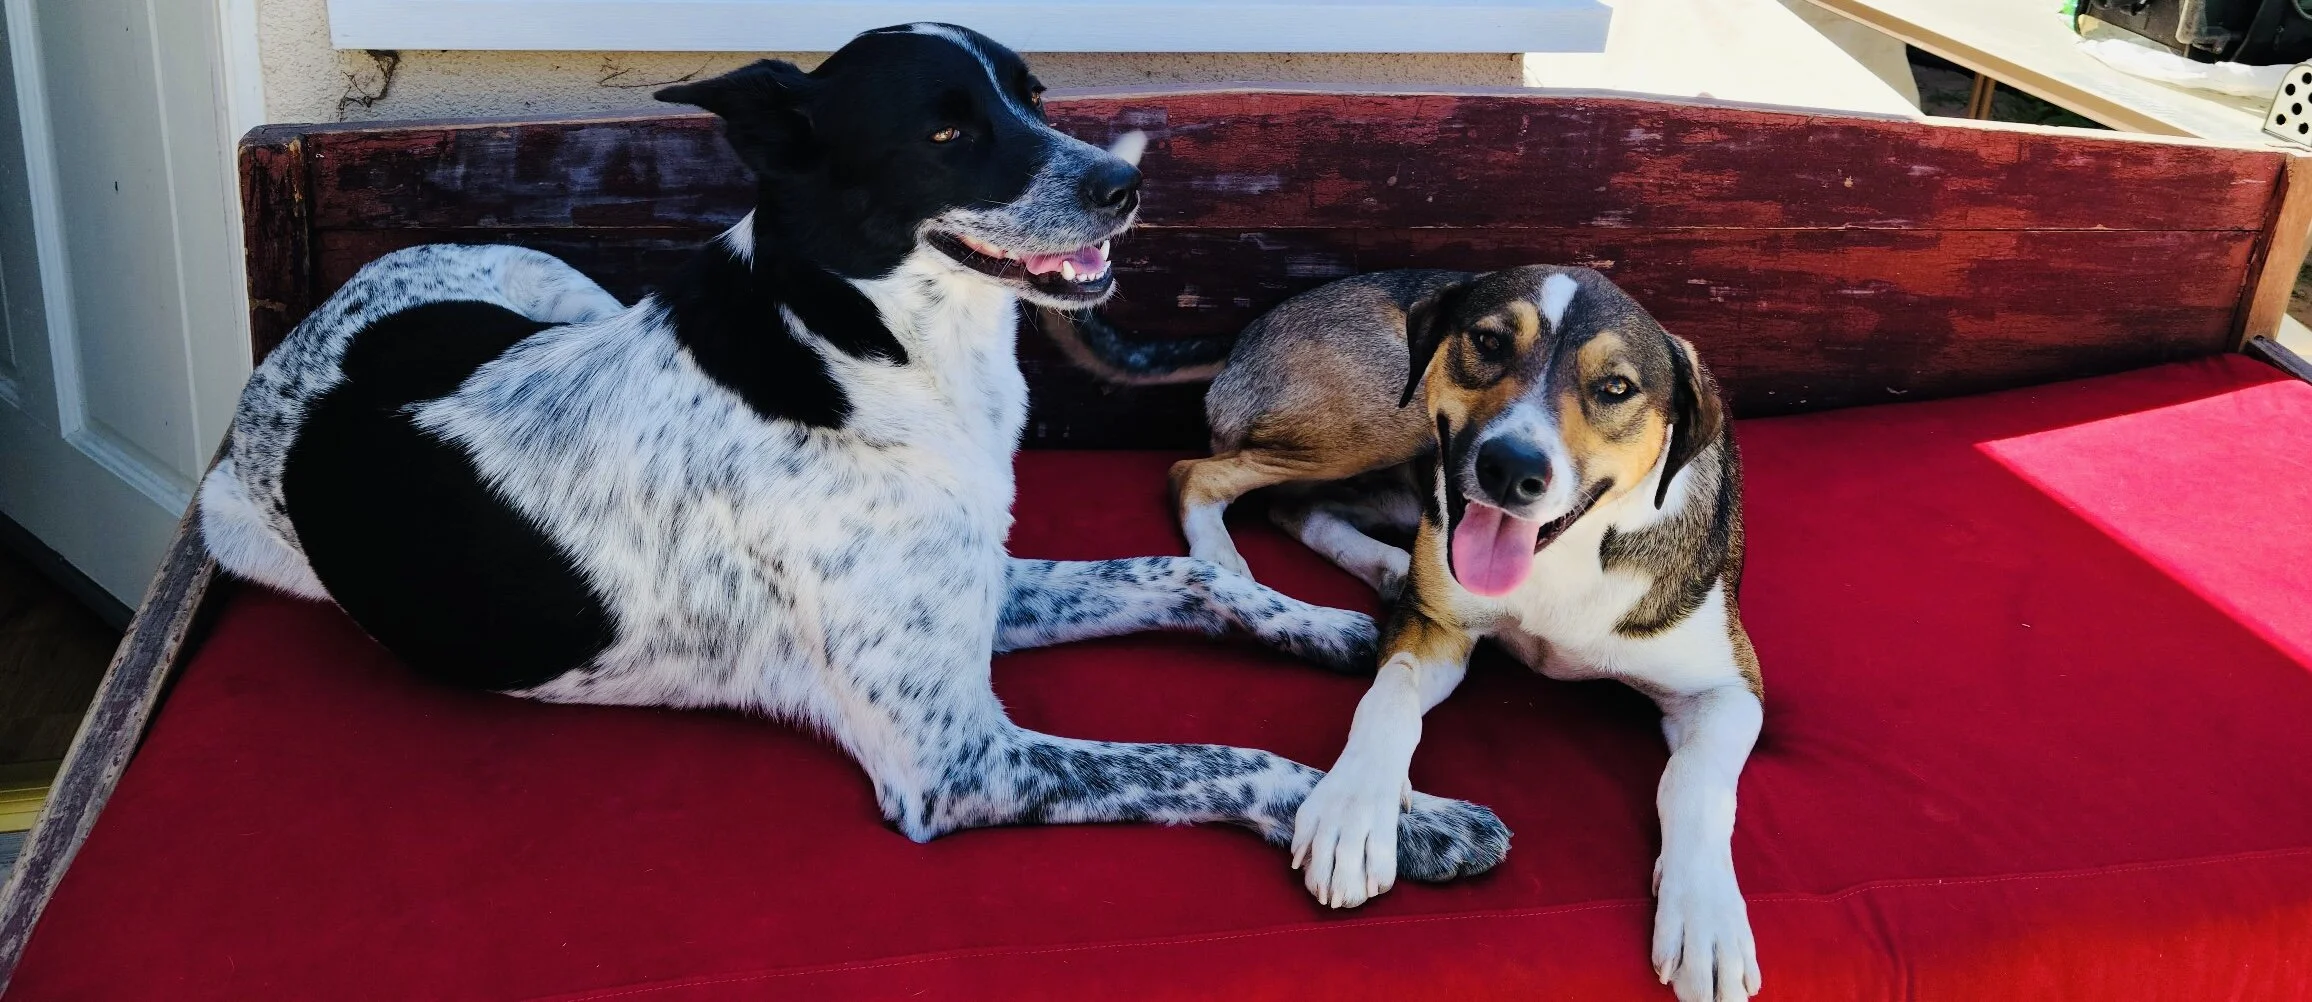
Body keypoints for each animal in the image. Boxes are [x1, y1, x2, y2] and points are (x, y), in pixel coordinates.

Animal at [197, 26, 1513, 884]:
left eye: (1032, 94)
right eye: (945, 127)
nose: (1125, 185)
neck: (866, 357)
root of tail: (296, 349)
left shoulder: (983, 584)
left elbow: (1182, 571)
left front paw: (1340, 625)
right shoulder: (960, 760)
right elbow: (1224, 758)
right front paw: (1405, 821)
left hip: (552, 282)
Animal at [1157, 267, 1762, 1002]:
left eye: (1616, 388)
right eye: (1488, 342)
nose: (1510, 467)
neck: (1563, 552)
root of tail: (1254, 328)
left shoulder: (1730, 690)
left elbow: (1694, 784)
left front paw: (1706, 916)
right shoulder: (1436, 627)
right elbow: (1387, 700)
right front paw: (1353, 813)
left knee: (1296, 506)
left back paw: (1386, 566)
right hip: (1390, 419)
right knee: (1200, 474)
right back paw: (1225, 561)